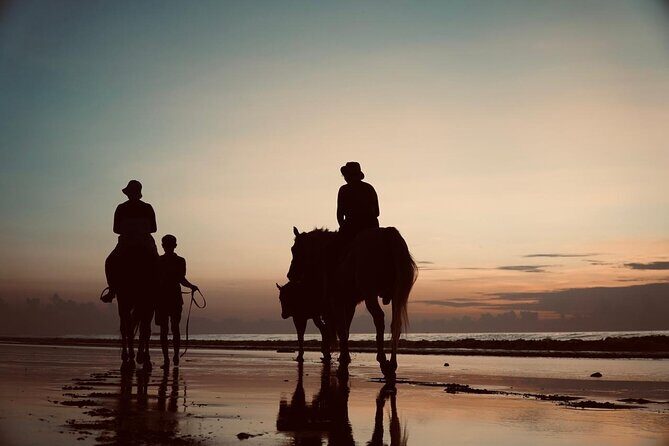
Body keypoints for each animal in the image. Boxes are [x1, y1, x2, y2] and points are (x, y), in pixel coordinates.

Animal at [287, 226, 417, 381]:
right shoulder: (349, 303)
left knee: (379, 319)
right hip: (395, 296)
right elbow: (346, 330)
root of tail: (387, 234)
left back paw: (382, 361)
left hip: (370, 294)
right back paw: (392, 364)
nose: (290, 275)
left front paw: (343, 359)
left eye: (294, 249)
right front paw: (344, 357)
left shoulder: (336, 301)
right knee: (395, 325)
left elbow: (342, 330)